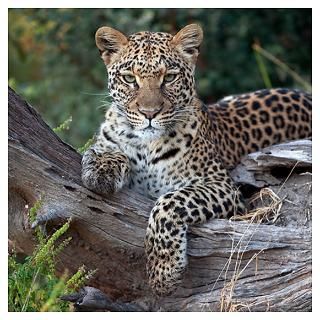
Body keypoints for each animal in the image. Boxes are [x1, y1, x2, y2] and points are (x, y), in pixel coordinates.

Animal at [80, 23, 312, 296]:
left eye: (169, 77)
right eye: (129, 79)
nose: (149, 113)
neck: (146, 146)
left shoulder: (225, 188)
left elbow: (170, 202)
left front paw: (164, 272)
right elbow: (106, 149)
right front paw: (101, 170)